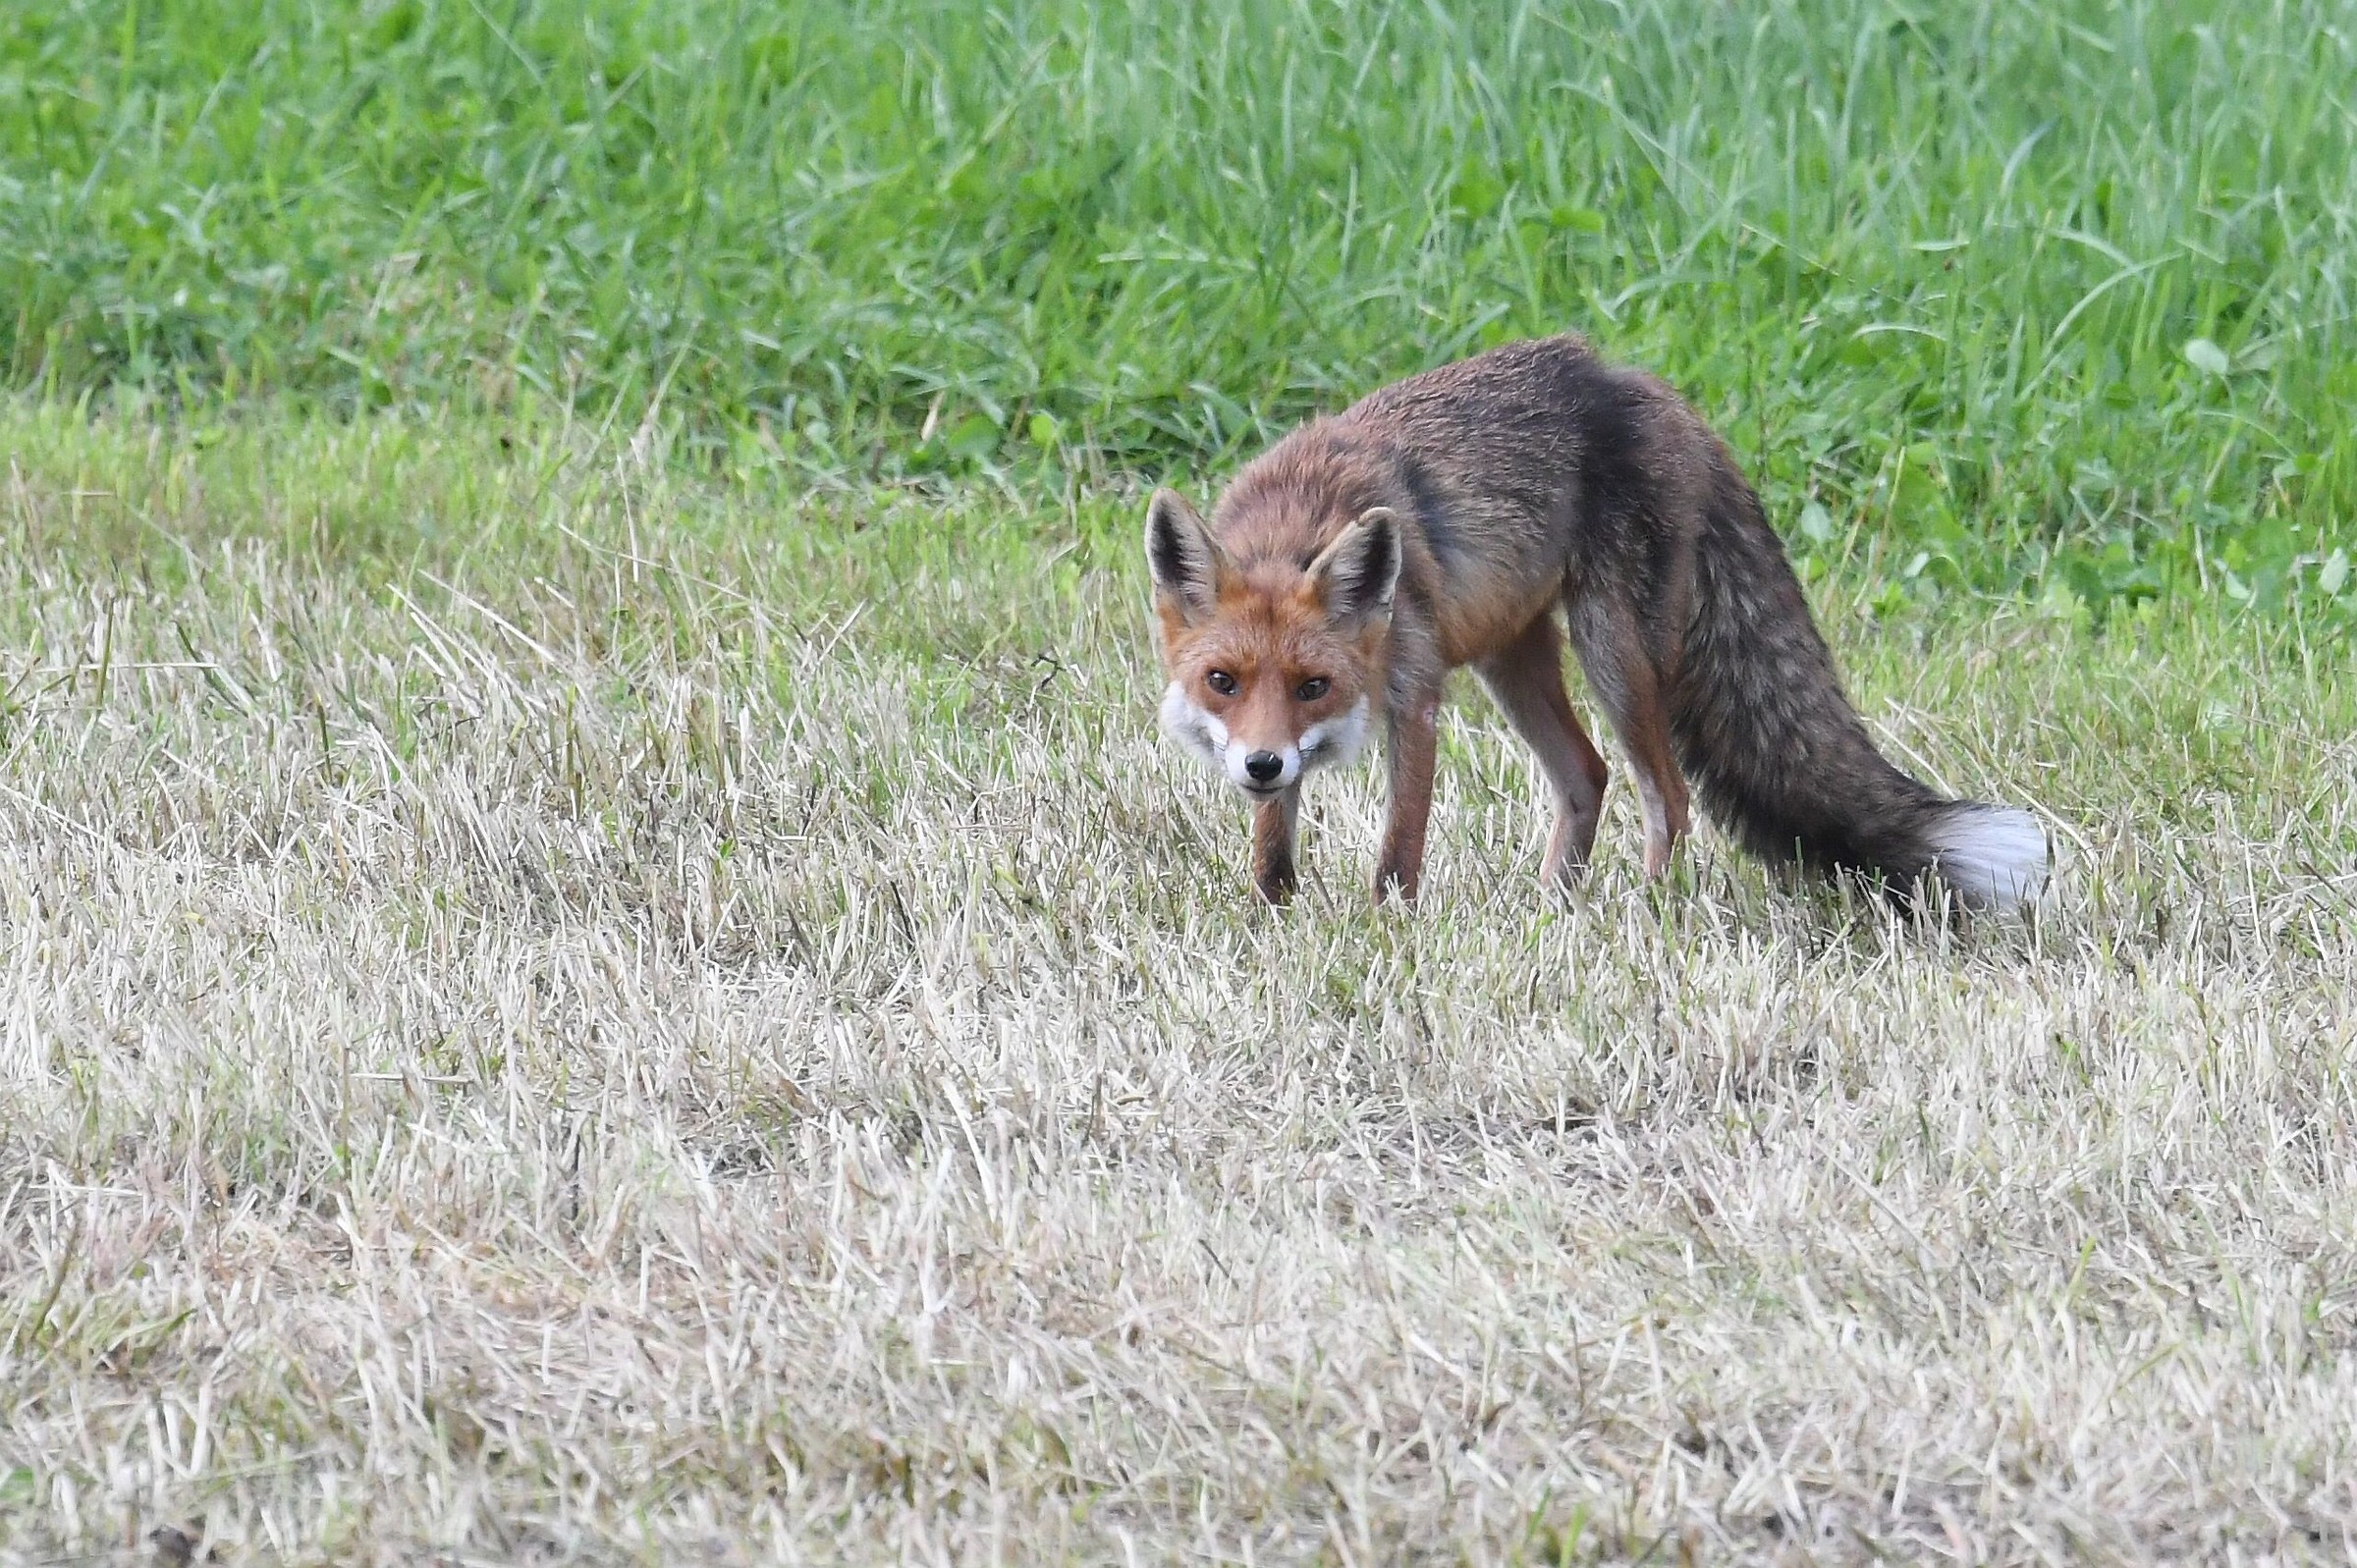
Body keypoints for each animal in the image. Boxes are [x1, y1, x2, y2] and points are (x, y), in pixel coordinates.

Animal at [1145, 332, 2048, 912]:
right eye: (1222, 682)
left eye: (1315, 685)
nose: (1262, 762)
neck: (1298, 521)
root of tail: (1656, 393)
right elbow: (1273, 848)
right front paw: (1273, 918)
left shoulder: (1416, 697)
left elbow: (1399, 853)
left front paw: (1386, 932)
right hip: (1513, 661)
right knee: (1587, 774)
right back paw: (1554, 911)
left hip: (1613, 651)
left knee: (1667, 796)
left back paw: (1645, 913)